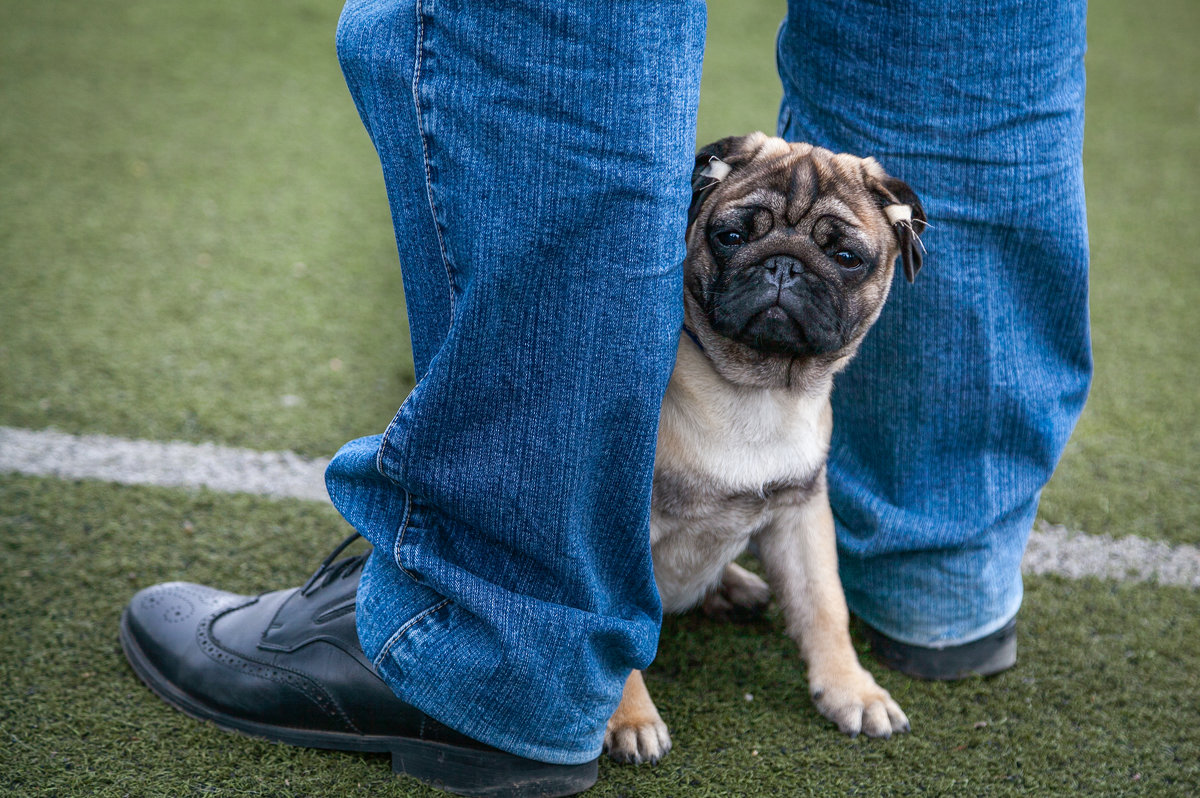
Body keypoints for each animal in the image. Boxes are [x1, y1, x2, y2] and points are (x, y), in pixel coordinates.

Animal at [609, 133, 926, 763]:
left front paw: (852, 690)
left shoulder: (802, 515)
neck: (758, 392)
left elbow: (825, 606)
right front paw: (628, 717)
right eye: (730, 237)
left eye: (847, 257)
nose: (784, 263)